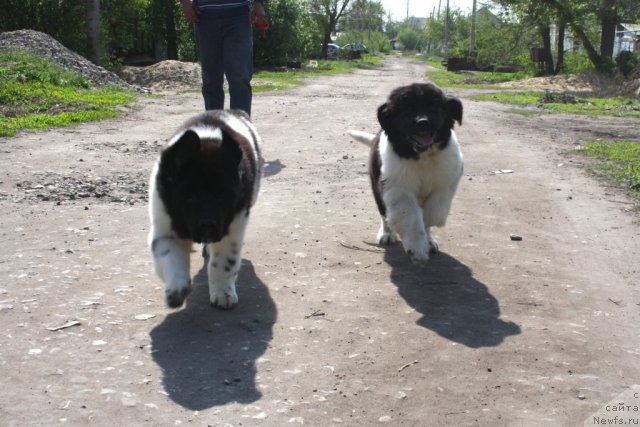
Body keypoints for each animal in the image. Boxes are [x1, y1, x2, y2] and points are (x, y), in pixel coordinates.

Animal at [148, 110, 262, 310]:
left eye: (223, 197)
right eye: (190, 198)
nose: (208, 225)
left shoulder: (233, 223)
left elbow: (224, 262)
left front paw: (223, 293)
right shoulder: (165, 224)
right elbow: (171, 256)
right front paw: (176, 290)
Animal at [348, 83, 462, 264]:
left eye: (434, 106)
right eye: (407, 109)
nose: (423, 122)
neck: (421, 157)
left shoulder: (446, 182)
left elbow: (433, 211)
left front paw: (427, 235)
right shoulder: (397, 188)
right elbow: (410, 215)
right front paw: (417, 249)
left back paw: (429, 240)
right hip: (377, 186)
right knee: (384, 214)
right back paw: (387, 234)